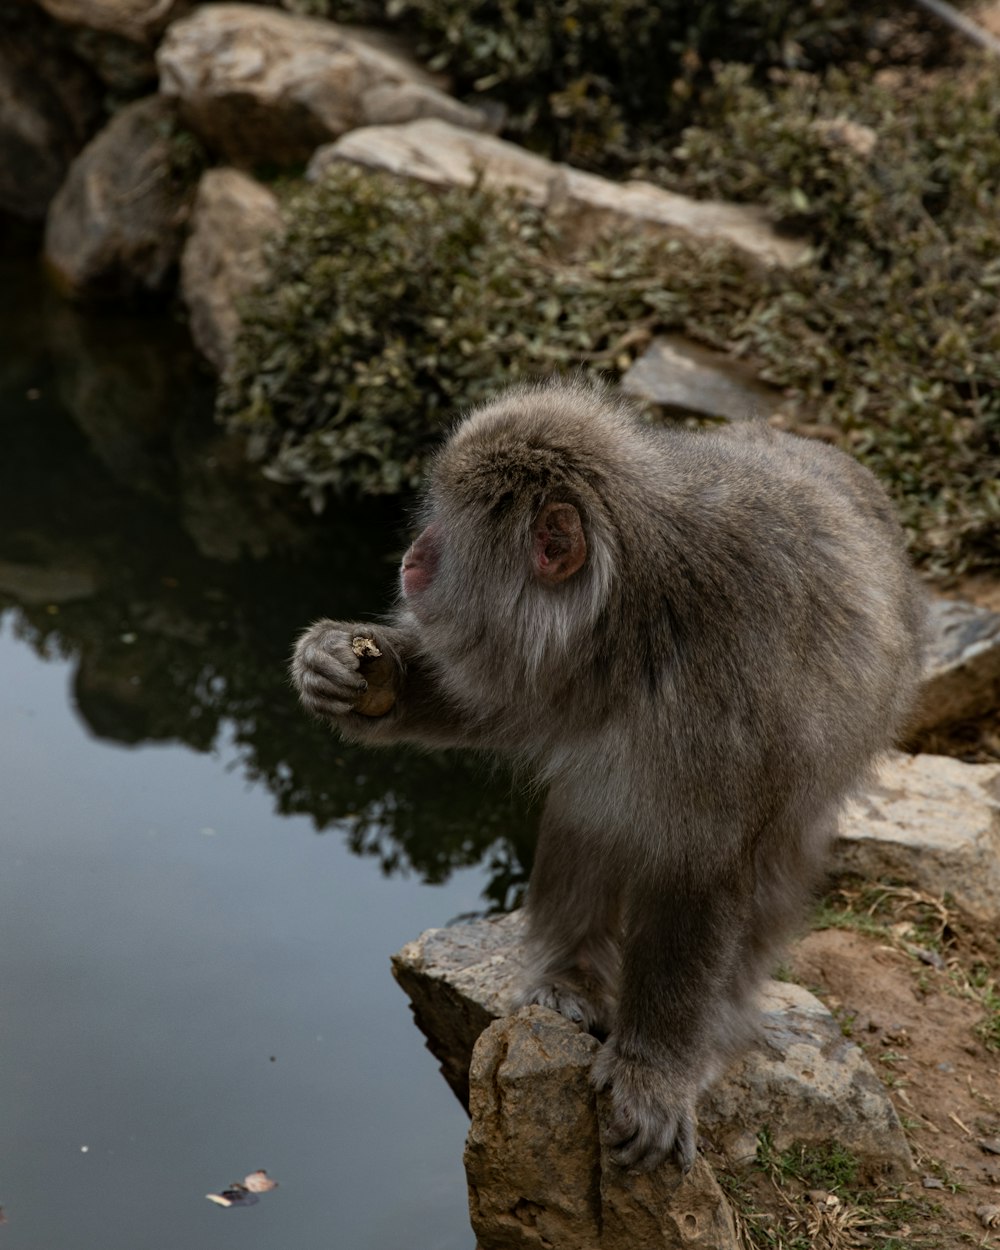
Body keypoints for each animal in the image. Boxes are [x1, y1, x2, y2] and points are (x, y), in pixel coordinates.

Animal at [292, 377, 925, 1170]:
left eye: (452, 524)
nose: (414, 553)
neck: (634, 612)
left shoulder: (724, 696)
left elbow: (702, 864)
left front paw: (654, 1071)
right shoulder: (560, 657)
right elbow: (487, 704)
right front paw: (347, 667)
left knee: (766, 856)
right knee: (592, 804)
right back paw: (570, 977)